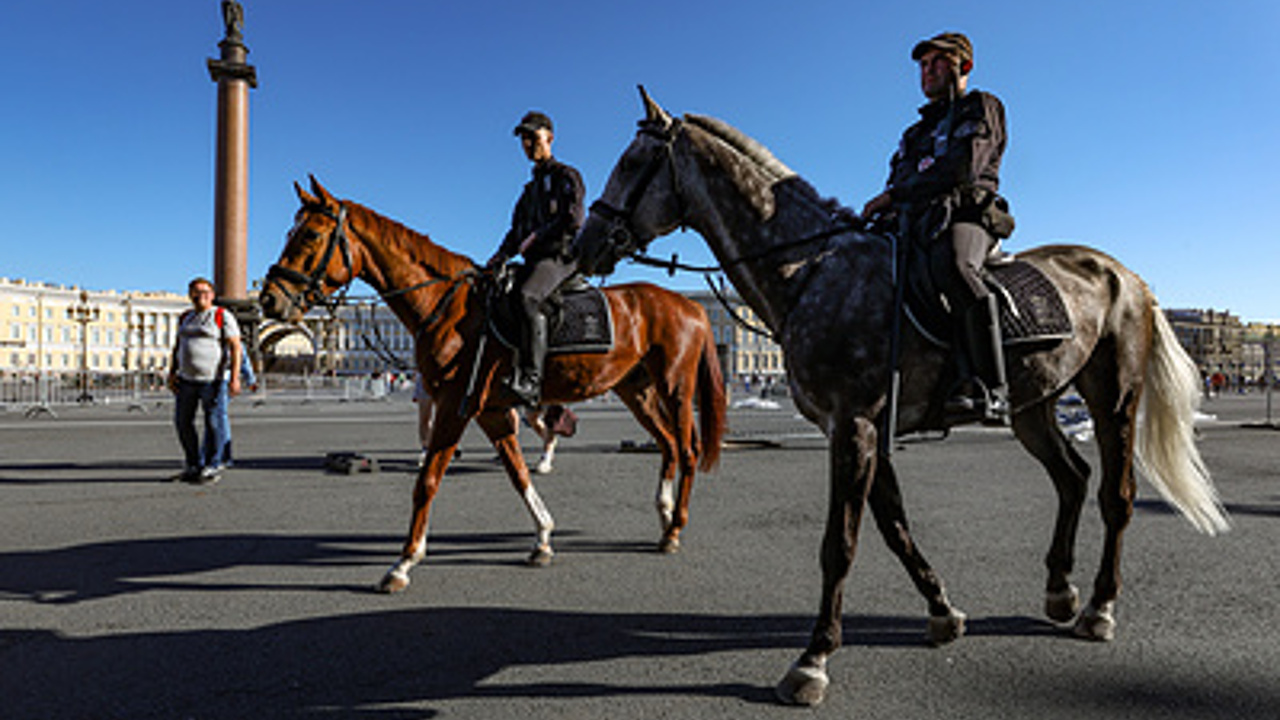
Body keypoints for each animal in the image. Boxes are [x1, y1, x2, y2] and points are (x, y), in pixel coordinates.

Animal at [262, 178, 721, 589]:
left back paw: (674, 528)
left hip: (676, 389)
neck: (449, 306)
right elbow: (517, 474)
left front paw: (403, 563)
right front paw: (543, 539)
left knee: (687, 449)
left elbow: (427, 481)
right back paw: (664, 516)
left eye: (310, 234)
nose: (269, 298)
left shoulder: (453, 405)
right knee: (667, 444)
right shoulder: (491, 410)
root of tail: (691, 304)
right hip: (636, 391)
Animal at [573, 88, 1228, 702]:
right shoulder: (861, 428)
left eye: (633, 162)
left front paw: (812, 660)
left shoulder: (855, 425)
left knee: (1117, 495)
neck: (811, 271)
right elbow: (893, 527)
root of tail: (1130, 277)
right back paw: (1060, 591)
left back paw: (1098, 608)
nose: (584, 244)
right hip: (1032, 406)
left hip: (1113, 396)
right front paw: (942, 613)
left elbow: (840, 542)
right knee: (1072, 478)